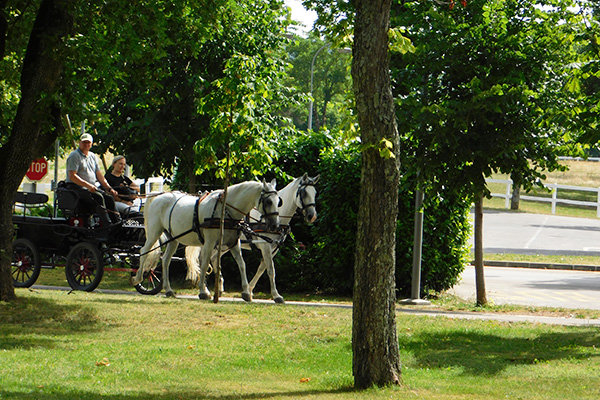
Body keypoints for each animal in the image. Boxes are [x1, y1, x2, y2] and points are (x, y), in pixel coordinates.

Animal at [132, 180, 280, 298]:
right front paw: (203, 291)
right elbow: (204, 264)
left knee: (166, 260)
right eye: (268, 201)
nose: (275, 225)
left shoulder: (233, 243)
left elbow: (242, 264)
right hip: (154, 232)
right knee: (144, 251)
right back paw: (137, 278)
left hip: (173, 239)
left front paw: (246, 293)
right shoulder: (209, 242)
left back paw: (168, 290)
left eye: (279, 202)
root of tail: (159, 196)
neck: (225, 209)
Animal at [186, 173, 318, 304]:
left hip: (224, 244)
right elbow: (271, 270)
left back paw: (219, 288)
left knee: (213, 258)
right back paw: (205, 289)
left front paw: (249, 290)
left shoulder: (273, 248)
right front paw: (276, 295)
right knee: (204, 259)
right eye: (304, 193)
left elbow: (261, 269)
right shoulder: (265, 246)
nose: (312, 216)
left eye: (315, 193)